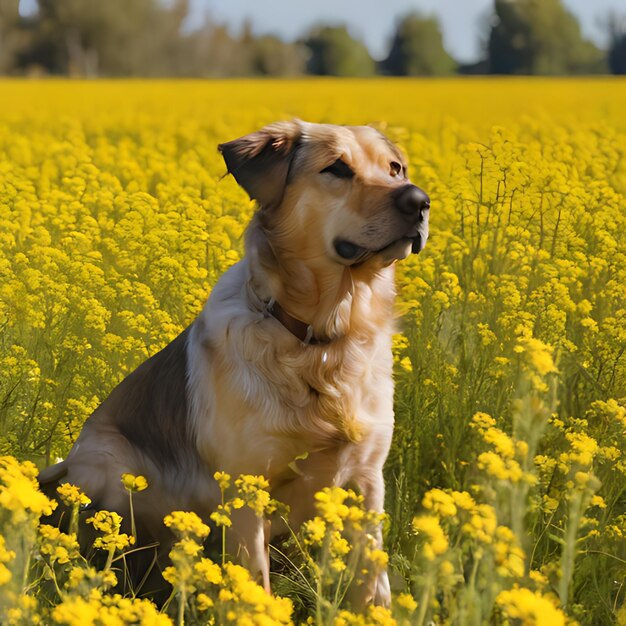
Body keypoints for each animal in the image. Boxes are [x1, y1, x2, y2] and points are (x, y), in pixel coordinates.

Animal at [37, 118, 428, 604]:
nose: (418, 200)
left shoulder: (367, 481)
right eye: (337, 168)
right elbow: (255, 582)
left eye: (395, 168)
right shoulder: (246, 488)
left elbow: (374, 587)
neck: (319, 341)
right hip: (107, 464)